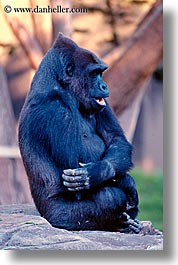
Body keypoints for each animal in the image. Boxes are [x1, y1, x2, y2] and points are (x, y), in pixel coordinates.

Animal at [18, 32, 140, 231]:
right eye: (94, 73)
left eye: (101, 73)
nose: (104, 86)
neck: (59, 84)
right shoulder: (57, 111)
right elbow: (80, 188)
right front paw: (124, 185)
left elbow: (117, 140)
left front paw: (99, 171)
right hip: (59, 218)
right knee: (108, 197)